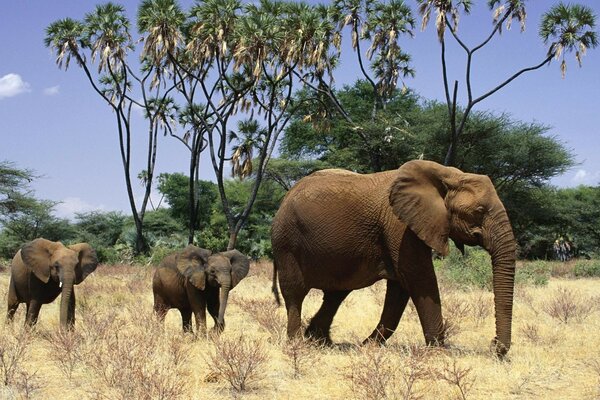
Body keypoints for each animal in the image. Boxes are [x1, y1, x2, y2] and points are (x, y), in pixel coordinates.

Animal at [272, 159, 516, 356]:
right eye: (479, 211)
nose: (494, 346)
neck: (448, 174)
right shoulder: (400, 225)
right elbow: (419, 278)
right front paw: (440, 353)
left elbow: (400, 289)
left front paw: (368, 347)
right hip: (287, 241)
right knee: (295, 292)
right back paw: (297, 344)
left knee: (336, 294)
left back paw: (320, 341)